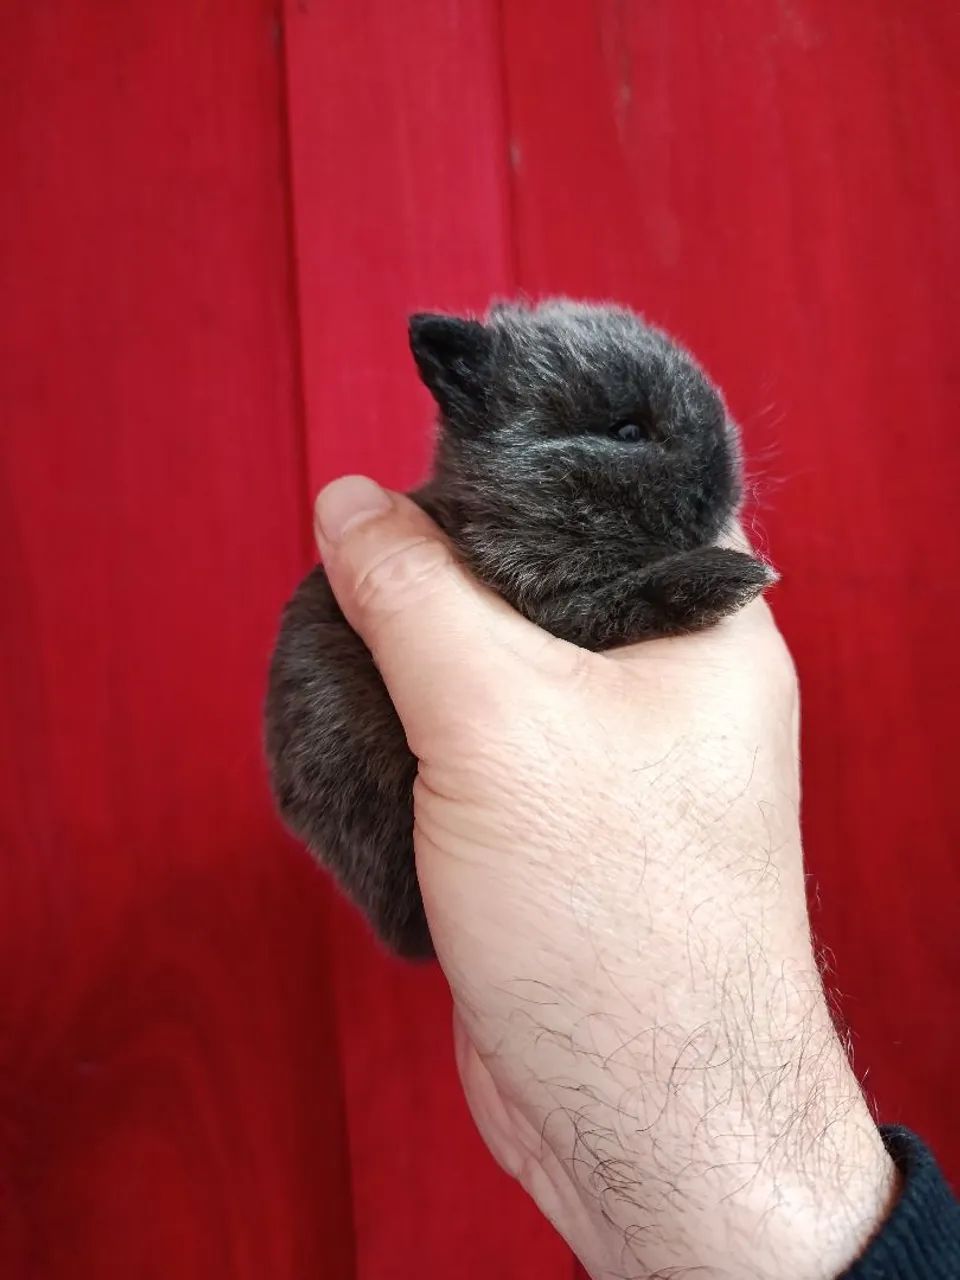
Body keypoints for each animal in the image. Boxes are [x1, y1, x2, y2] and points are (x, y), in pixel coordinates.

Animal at [264, 299, 775, 959]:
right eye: (627, 431)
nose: (725, 485)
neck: (491, 514)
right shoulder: (560, 610)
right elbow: (628, 600)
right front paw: (732, 576)